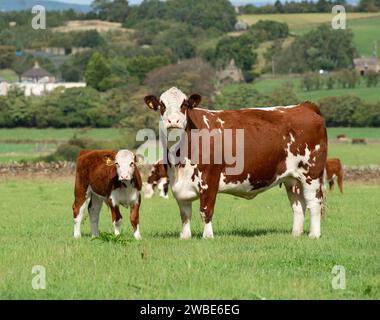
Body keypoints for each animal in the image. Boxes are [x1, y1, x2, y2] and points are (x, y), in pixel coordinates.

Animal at [144, 86, 328, 239]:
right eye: (162, 105)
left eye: (185, 104)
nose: (173, 121)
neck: (180, 158)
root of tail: (304, 106)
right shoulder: (178, 185)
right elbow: (184, 214)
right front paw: (185, 237)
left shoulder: (209, 180)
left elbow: (205, 210)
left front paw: (208, 237)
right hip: (293, 179)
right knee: (298, 205)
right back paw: (295, 234)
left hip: (311, 174)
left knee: (314, 203)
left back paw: (314, 234)